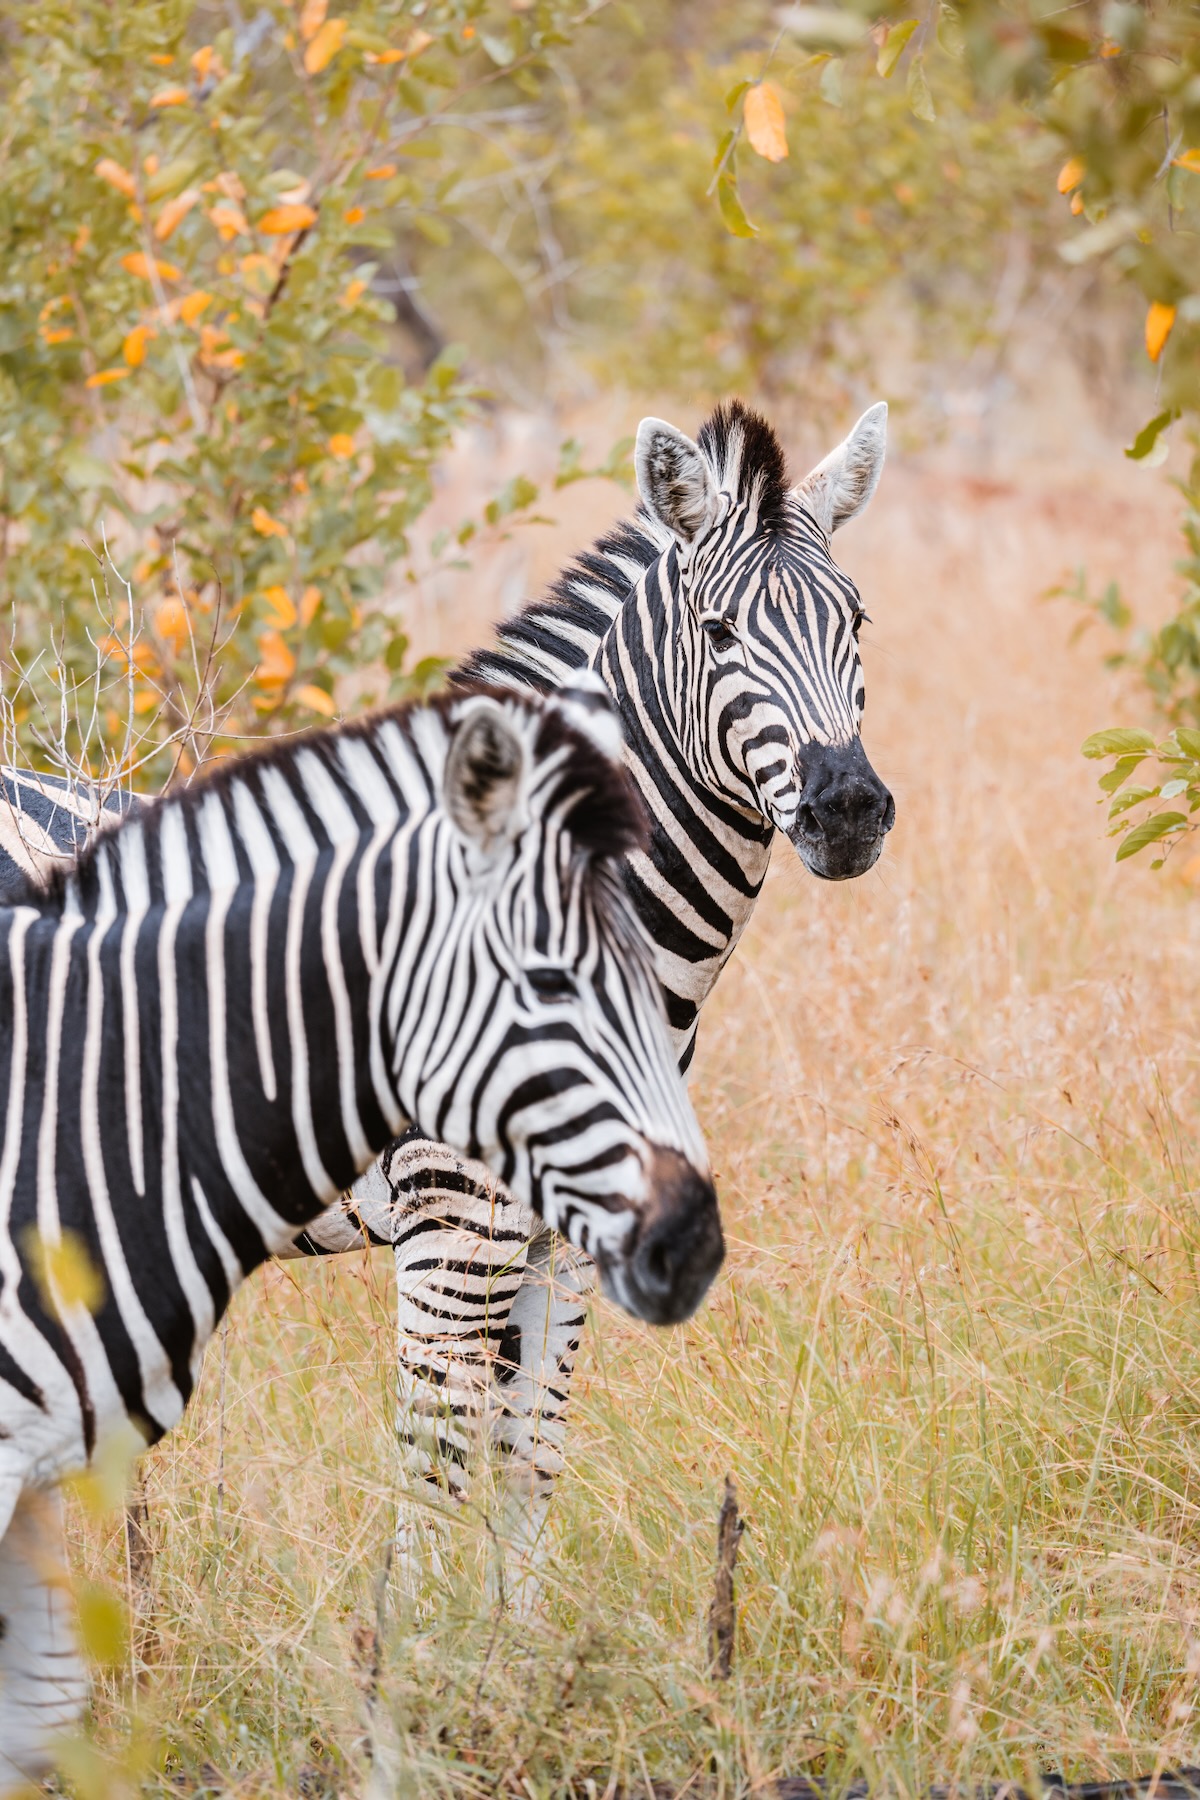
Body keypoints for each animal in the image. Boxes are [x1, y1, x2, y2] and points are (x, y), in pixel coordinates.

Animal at [287, 397, 892, 1591]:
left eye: (858, 625)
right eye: (718, 633)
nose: (848, 807)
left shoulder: (572, 1235)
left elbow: (530, 1461)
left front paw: (511, 1648)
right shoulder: (450, 1230)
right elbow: (430, 1485)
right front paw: (406, 1654)